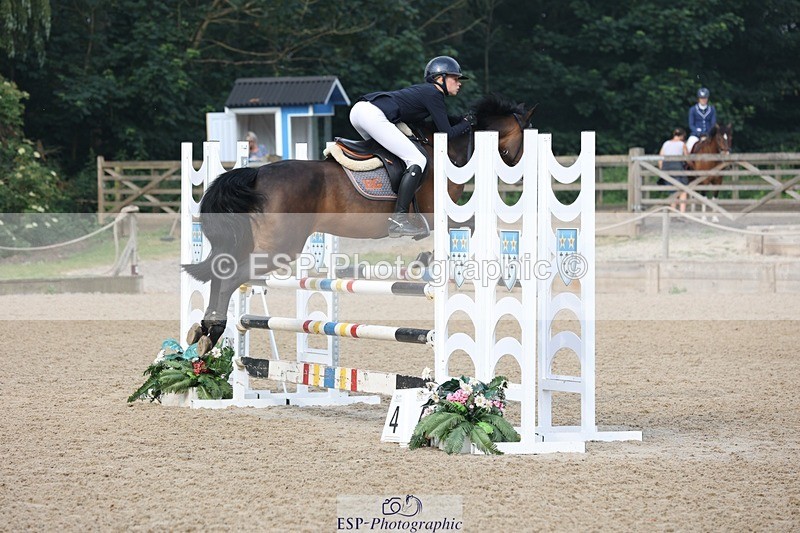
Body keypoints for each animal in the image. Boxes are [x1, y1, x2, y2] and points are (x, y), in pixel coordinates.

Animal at [184, 94, 536, 355]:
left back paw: (203, 329)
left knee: (221, 272)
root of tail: (257, 173)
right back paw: (212, 330)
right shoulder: (441, 214)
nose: (520, 176)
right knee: (230, 276)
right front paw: (427, 259)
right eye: (525, 136)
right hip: (279, 248)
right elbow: (471, 224)